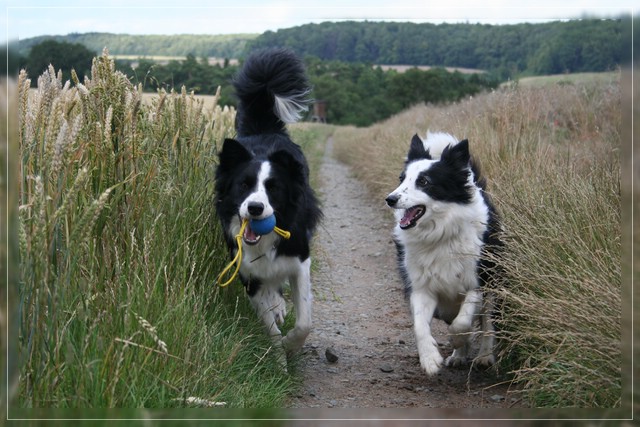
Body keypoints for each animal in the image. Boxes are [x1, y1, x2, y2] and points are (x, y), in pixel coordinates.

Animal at [215, 48, 322, 362]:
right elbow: (269, 326)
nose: (255, 209)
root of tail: (262, 128)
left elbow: (305, 322)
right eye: (243, 185)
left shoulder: (300, 260)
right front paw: (279, 357)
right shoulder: (247, 273)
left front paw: (291, 345)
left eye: (273, 188)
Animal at [384, 132, 500, 376]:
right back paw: (458, 356)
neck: (440, 233)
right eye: (401, 179)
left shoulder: (477, 283)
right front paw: (430, 359)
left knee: (488, 322)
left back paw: (484, 355)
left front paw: (458, 340)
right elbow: (420, 326)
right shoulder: (421, 286)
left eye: (424, 182)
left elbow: (463, 323)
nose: (390, 199)